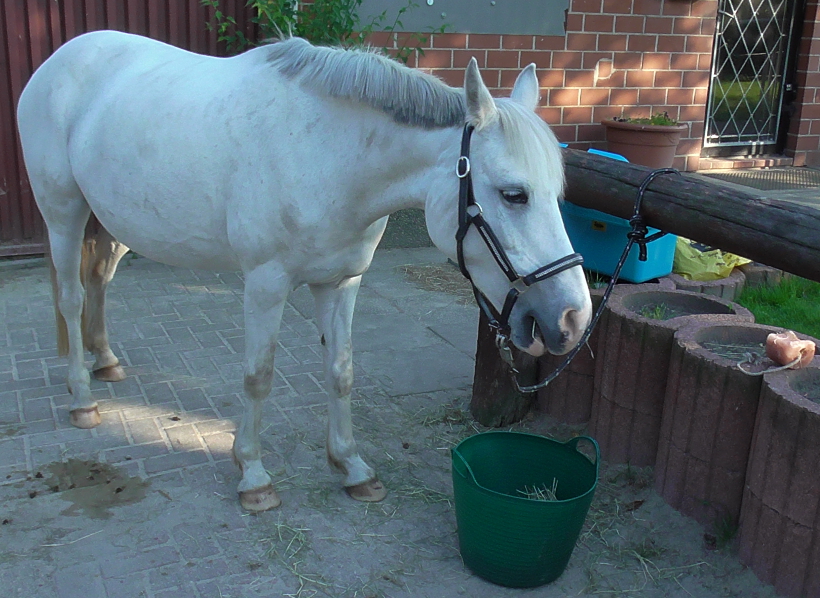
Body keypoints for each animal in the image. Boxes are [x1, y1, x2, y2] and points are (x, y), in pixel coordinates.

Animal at [17, 31, 592, 512]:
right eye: (513, 194)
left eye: (558, 193)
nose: (573, 319)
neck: (326, 154)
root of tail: (59, 59)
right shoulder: (265, 284)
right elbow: (258, 376)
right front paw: (252, 475)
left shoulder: (341, 283)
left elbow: (341, 372)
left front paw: (353, 468)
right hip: (63, 213)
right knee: (71, 298)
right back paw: (83, 399)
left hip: (112, 224)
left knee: (98, 283)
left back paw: (106, 361)